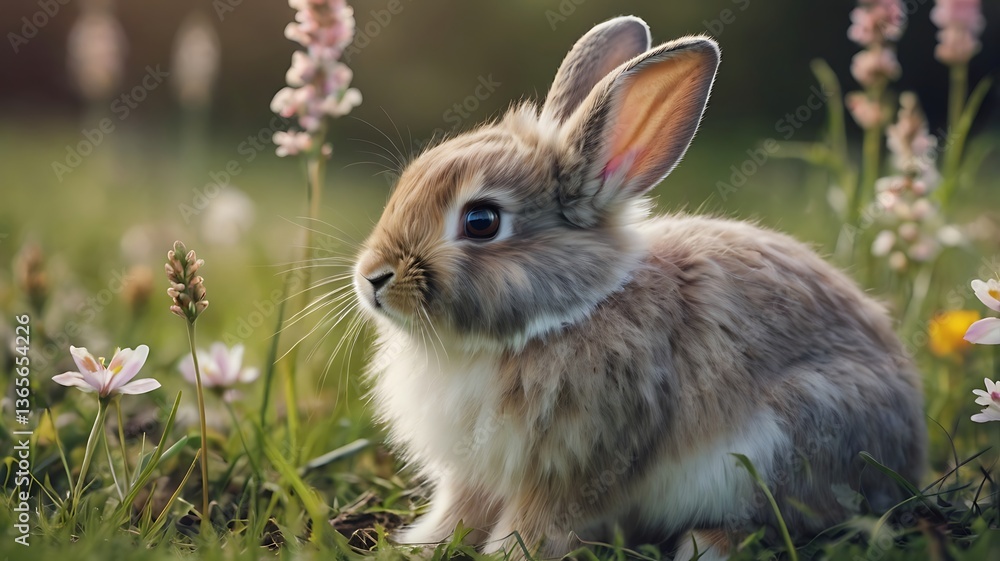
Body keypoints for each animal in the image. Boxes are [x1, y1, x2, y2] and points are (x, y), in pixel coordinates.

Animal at [351, 15, 926, 561]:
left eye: (481, 221)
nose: (373, 277)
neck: (566, 314)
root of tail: (909, 443)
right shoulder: (474, 474)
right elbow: (460, 512)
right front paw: (422, 546)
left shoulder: (574, 467)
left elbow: (538, 523)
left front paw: (509, 556)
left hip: (787, 440)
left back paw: (707, 545)